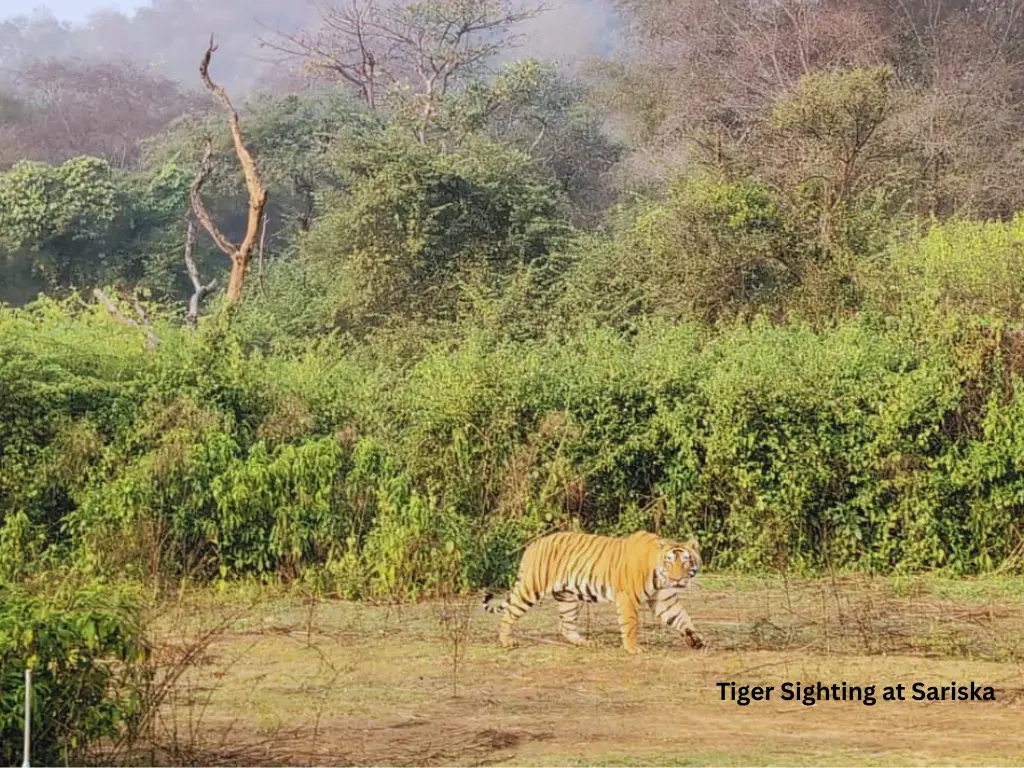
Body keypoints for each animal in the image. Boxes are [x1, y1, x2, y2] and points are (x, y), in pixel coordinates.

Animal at [482, 530, 704, 654]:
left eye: (686, 561)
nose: (677, 579)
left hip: (568, 597)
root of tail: (533, 545)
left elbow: (681, 617)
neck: (659, 574)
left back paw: (586, 643)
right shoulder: (628, 598)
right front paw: (633, 648)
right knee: (509, 613)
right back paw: (506, 641)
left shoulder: (664, 599)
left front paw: (695, 639)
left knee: (566, 625)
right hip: (531, 588)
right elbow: (630, 624)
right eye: (669, 562)